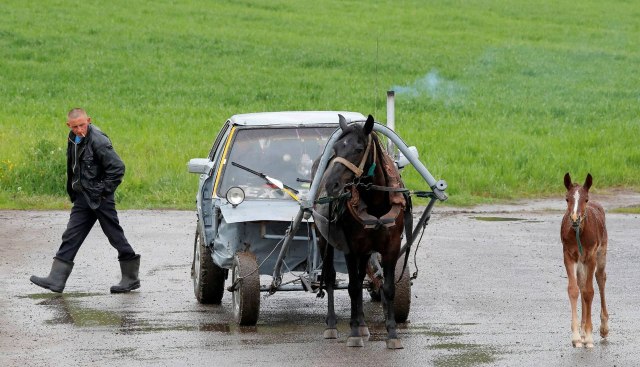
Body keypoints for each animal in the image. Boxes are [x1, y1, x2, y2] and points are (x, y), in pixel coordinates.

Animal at [310, 115, 404, 350]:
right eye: (335, 148)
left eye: (359, 148)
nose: (331, 184)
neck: (376, 205)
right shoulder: (351, 248)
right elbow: (352, 287)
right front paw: (352, 334)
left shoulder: (391, 246)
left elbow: (387, 288)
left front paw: (392, 334)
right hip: (325, 239)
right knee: (331, 277)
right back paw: (332, 325)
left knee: (362, 278)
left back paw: (361, 323)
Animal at [560, 174, 608, 350]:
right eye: (567, 199)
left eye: (585, 199)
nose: (575, 218)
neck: (579, 232)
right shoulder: (568, 255)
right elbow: (574, 290)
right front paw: (576, 337)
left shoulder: (591, 256)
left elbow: (589, 292)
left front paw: (588, 337)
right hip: (580, 262)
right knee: (581, 284)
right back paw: (581, 331)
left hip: (601, 254)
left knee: (600, 279)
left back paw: (604, 328)